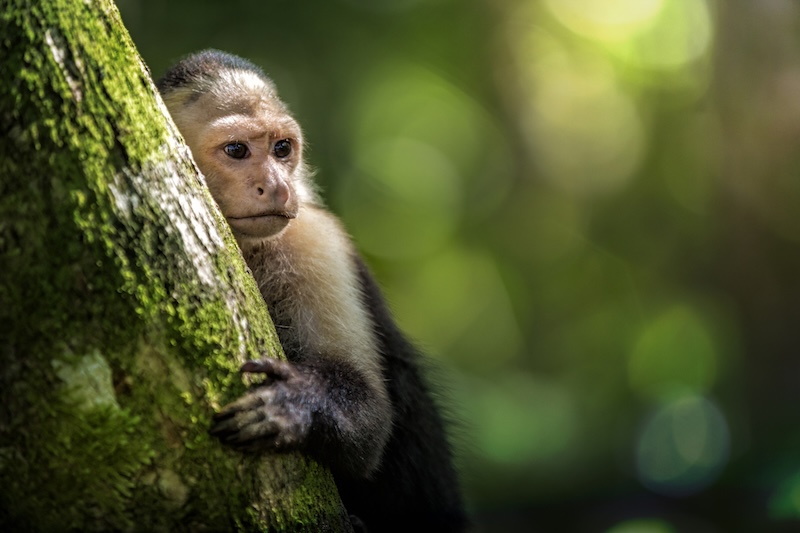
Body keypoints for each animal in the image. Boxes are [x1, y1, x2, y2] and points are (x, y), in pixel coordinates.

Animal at [156, 50, 466, 532]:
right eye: (236, 150)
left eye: (282, 148)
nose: (278, 186)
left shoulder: (315, 239)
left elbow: (371, 419)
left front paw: (293, 404)